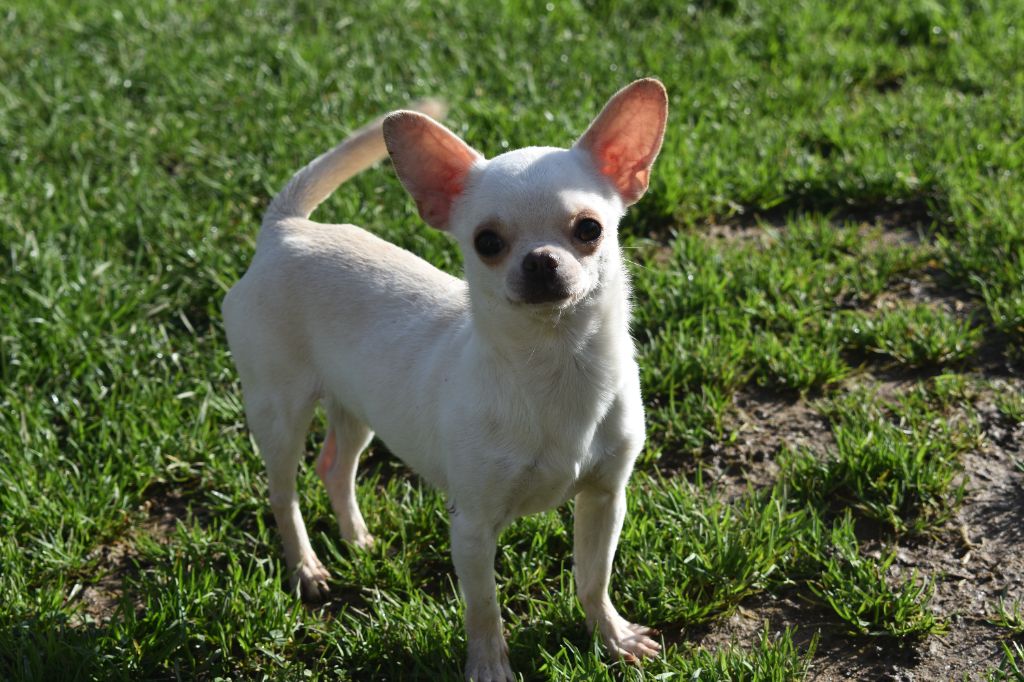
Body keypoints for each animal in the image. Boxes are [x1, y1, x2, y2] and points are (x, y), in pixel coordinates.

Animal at [223, 78, 667, 675]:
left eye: (589, 229)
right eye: (487, 243)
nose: (541, 260)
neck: (556, 366)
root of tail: (285, 229)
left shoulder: (604, 497)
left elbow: (593, 578)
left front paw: (612, 636)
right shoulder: (472, 527)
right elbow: (484, 609)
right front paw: (490, 669)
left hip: (359, 406)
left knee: (334, 466)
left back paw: (357, 539)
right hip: (279, 409)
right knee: (282, 491)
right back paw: (306, 568)